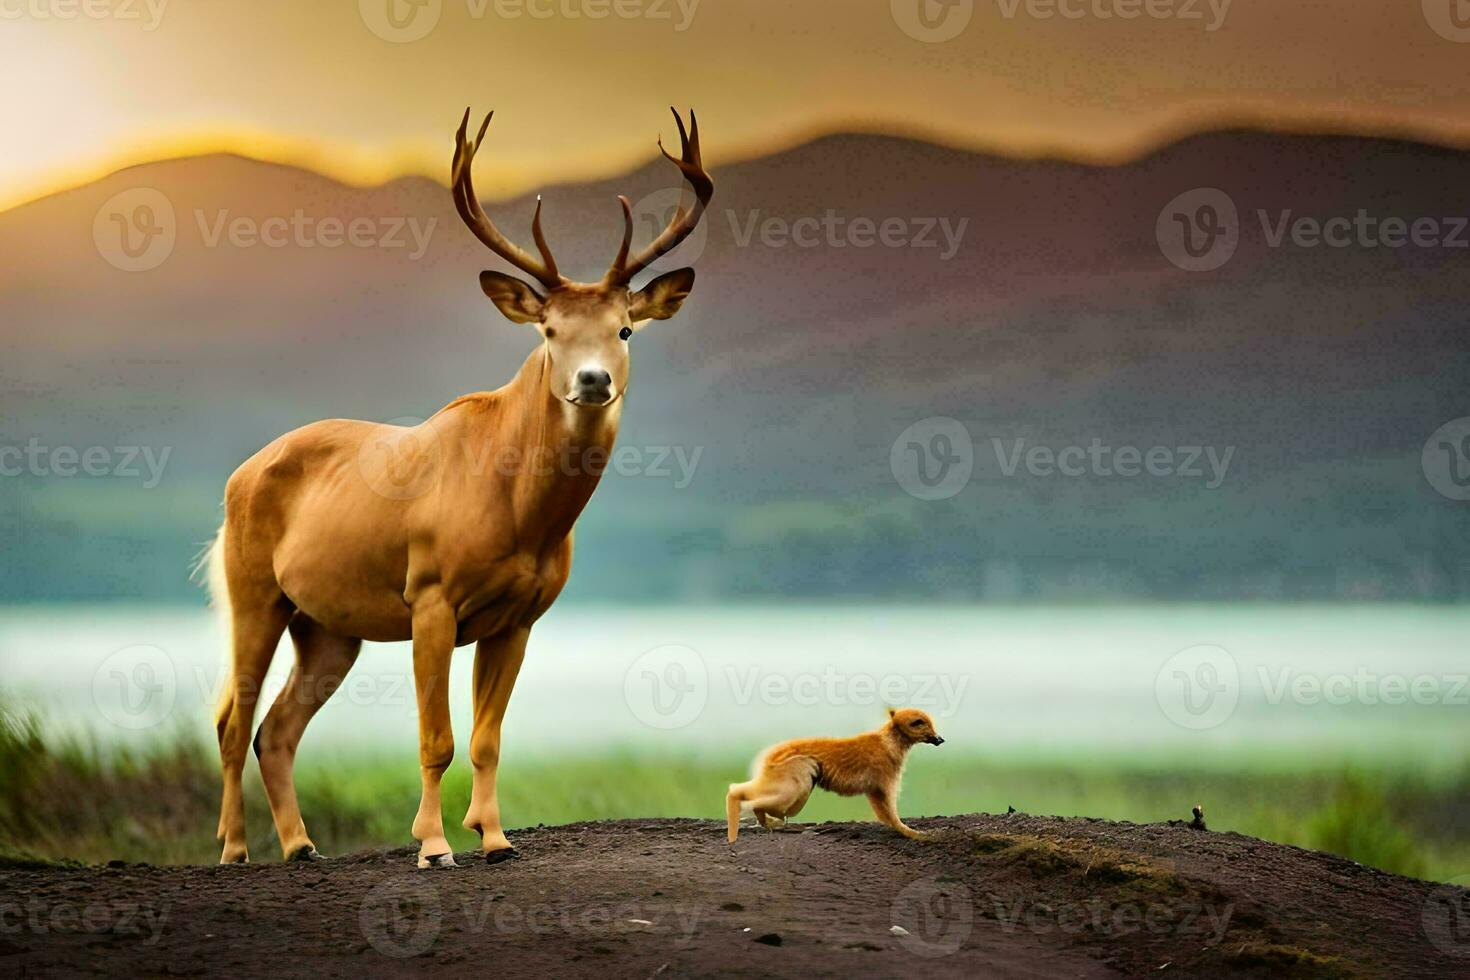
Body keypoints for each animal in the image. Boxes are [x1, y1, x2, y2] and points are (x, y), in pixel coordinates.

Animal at [204, 107, 714, 869]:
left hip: (328, 627)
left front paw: (495, 838)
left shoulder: (521, 616)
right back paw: (235, 849)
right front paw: (433, 846)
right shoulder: (431, 595)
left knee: (278, 726)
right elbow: (436, 739)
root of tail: (237, 477)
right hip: (253, 591)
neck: (524, 518)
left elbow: (486, 738)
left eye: (626, 329)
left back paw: (300, 845)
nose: (593, 380)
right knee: (233, 720)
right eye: (549, 330)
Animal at [720, 705, 940, 846]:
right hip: (796, 776)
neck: (889, 742)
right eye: (918, 722)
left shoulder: (876, 785)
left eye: (930, 723)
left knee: (742, 792)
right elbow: (890, 814)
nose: (939, 739)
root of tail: (769, 755)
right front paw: (915, 834)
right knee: (746, 796)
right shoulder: (883, 778)